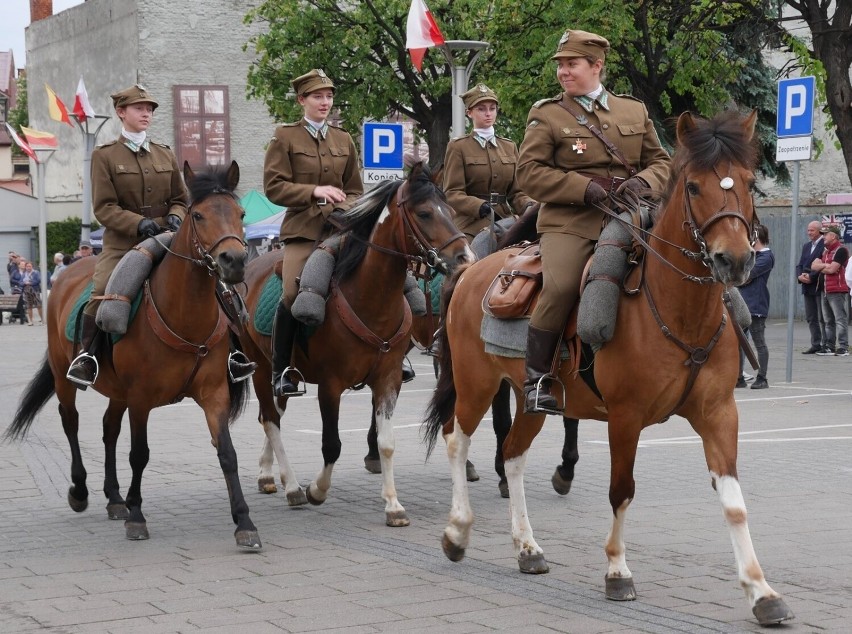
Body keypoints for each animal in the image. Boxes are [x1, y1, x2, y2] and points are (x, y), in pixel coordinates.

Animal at [5, 159, 260, 548]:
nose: (234, 260)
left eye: (241, 212)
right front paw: (137, 516)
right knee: (71, 422)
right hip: (67, 377)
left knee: (109, 429)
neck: (184, 314)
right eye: (198, 215)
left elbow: (227, 453)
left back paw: (113, 497)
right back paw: (80, 490)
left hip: (117, 391)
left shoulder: (213, 393)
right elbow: (139, 454)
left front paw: (244, 522)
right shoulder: (141, 397)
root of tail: (67, 273)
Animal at [236, 162, 472, 524]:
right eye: (424, 213)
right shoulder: (330, 386)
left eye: (451, 211)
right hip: (262, 368)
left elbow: (387, 441)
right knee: (272, 421)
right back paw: (292, 487)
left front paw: (393, 504)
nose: (464, 257)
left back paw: (268, 474)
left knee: (271, 413)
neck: (370, 297)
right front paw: (317, 490)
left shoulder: (388, 380)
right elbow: (332, 444)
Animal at [422, 111, 796, 624]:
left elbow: (734, 503)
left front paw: (761, 591)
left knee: (513, 455)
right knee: (457, 440)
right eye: (694, 186)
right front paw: (618, 572)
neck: (679, 310)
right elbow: (622, 490)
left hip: (531, 399)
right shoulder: (625, 417)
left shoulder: (719, 414)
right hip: (477, 383)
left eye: (747, 181)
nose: (734, 260)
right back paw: (457, 532)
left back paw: (527, 548)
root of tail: (471, 269)